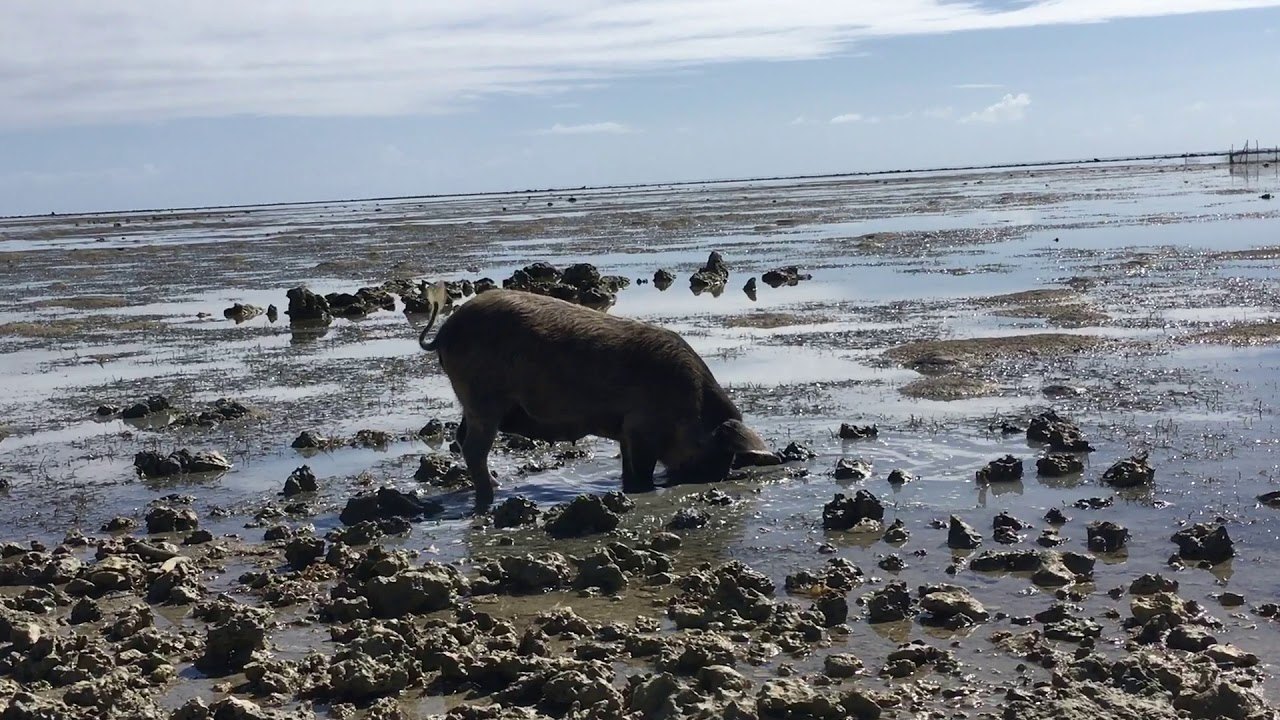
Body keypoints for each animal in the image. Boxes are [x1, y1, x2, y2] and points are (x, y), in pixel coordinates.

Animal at [416, 284, 776, 509]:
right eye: (717, 453)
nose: (711, 478)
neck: (692, 405)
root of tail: (444, 332)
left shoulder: (626, 431)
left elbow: (628, 468)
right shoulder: (642, 427)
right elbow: (640, 470)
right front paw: (645, 489)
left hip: (472, 402)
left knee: (461, 437)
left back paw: (497, 485)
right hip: (482, 398)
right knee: (474, 447)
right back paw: (492, 496)